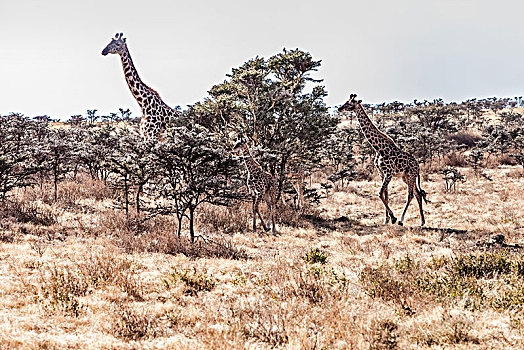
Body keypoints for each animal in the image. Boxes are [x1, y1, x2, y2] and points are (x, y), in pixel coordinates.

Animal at [338, 93, 428, 226]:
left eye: (350, 103)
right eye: (346, 101)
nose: (339, 108)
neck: (378, 148)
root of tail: (418, 167)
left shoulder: (388, 173)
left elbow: (380, 193)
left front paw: (393, 217)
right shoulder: (381, 173)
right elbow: (385, 195)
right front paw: (386, 220)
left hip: (411, 175)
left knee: (410, 195)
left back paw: (401, 220)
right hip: (405, 177)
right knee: (417, 193)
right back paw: (422, 221)